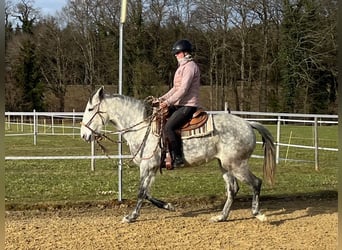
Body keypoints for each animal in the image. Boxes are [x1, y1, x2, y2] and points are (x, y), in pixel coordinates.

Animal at [79, 86, 276, 223]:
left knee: (256, 183)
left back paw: (257, 214)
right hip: (225, 165)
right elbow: (147, 193)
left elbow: (141, 192)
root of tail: (248, 124)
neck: (143, 127)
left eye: (90, 109)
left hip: (237, 165)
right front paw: (169, 206)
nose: (84, 135)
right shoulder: (150, 168)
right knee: (232, 189)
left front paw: (131, 216)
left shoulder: (147, 166)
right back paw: (221, 217)